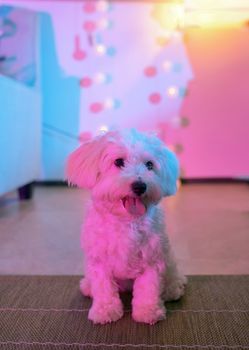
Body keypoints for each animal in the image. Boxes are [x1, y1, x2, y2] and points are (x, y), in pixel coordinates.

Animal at [66, 129, 187, 326]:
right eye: (118, 162)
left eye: (149, 164)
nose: (140, 186)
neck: (126, 221)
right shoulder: (100, 262)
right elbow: (104, 288)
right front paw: (105, 311)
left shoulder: (153, 259)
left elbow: (149, 288)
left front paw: (148, 311)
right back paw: (88, 286)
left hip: (169, 262)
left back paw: (172, 288)